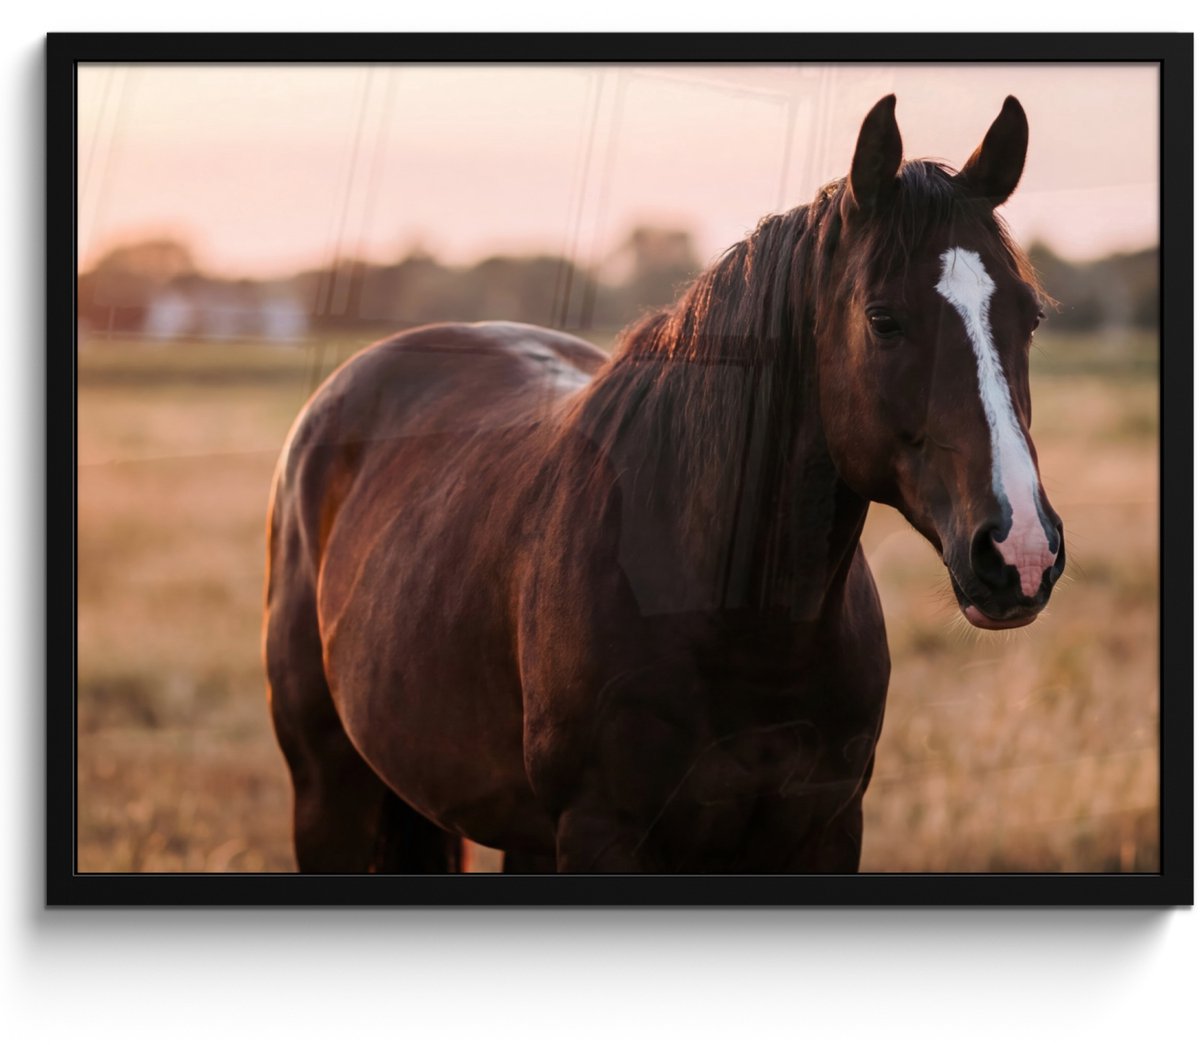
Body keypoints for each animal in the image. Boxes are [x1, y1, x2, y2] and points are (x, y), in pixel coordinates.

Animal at [264, 94, 1065, 874]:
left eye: (1030, 316)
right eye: (883, 319)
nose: (1020, 551)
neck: (740, 625)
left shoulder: (827, 830)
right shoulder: (603, 834)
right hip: (327, 792)